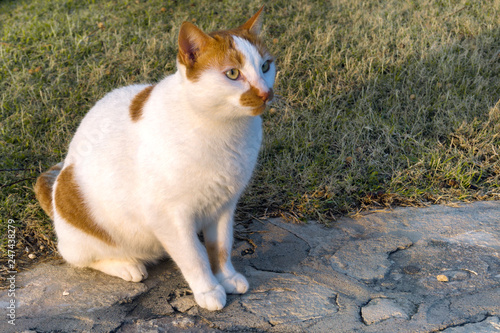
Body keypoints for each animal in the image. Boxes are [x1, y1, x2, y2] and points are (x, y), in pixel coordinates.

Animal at [34, 6, 278, 310]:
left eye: (266, 67)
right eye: (232, 74)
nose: (266, 93)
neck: (224, 129)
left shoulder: (224, 205)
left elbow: (220, 246)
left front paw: (226, 276)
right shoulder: (169, 215)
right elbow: (194, 256)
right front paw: (208, 289)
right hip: (82, 222)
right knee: (79, 257)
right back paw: (126, 265)